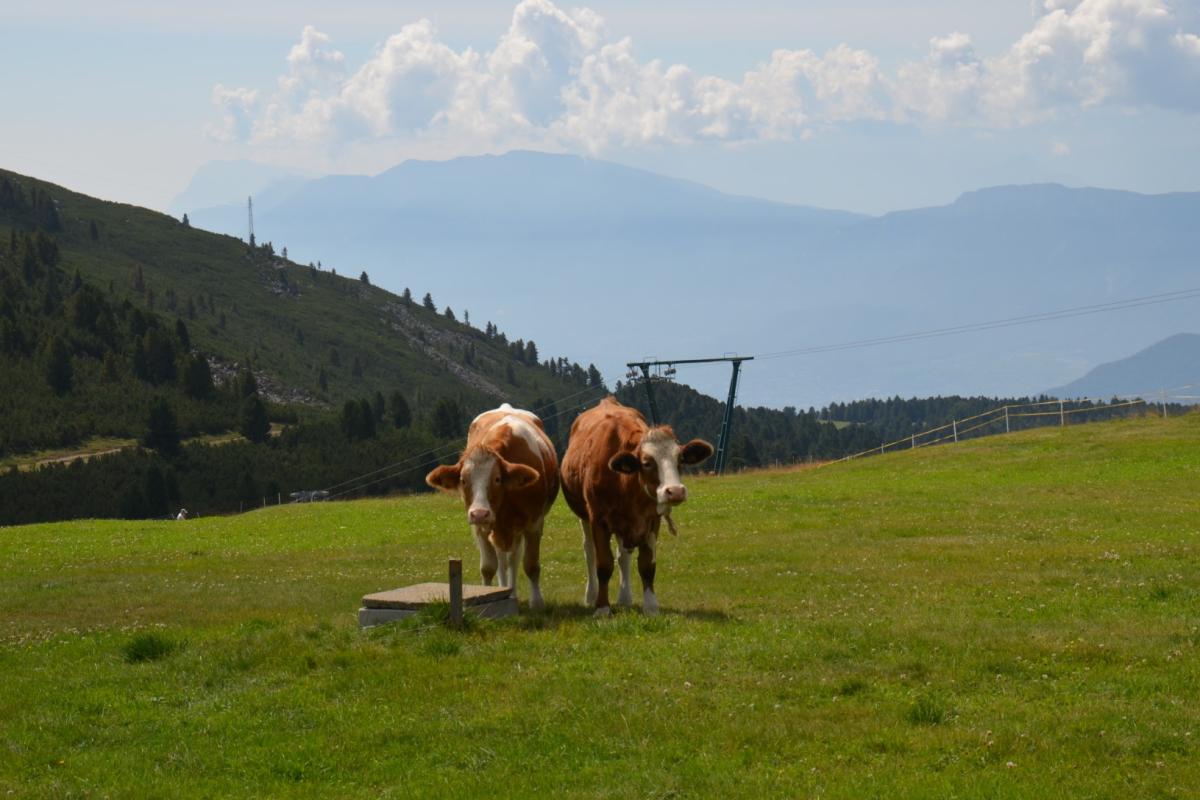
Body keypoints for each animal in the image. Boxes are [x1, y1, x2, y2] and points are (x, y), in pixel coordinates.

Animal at [427, 402, 556, 609]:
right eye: (463, 480)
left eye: (497, 479)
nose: (479, 513)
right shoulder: (481, 529)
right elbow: (488, 568)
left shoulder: (534, 523)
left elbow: (531, 565)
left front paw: (537, 603)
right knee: (503, 560)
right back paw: (506, 591)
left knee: (512, 559)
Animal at [561, 398, 710, 618]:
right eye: (647, 463)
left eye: (680, 460)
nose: (675, 491)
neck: (625, 483)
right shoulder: (598, 520)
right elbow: (603, 564)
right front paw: (602, 607)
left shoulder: (651, 520)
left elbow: (647, 565)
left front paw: (651, 606)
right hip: (584, 517)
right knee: (589, 552)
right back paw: (591, 595)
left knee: (623, 556)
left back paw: (625, 597)